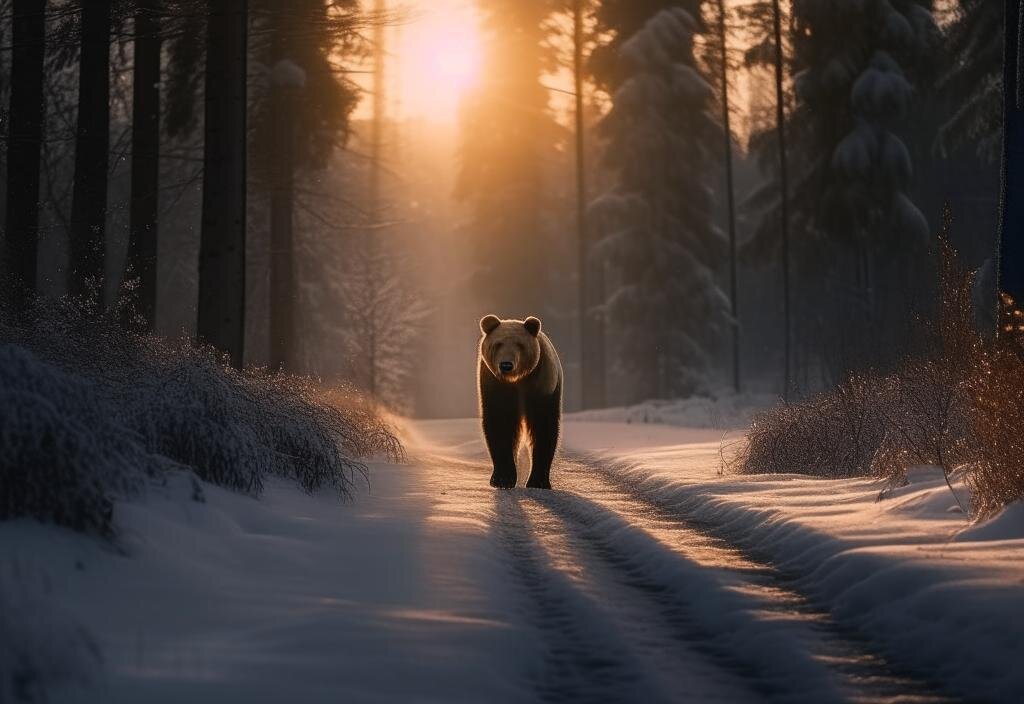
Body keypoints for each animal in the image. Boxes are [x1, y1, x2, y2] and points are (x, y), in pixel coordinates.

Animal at [477, 315, 565, 489]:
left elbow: (543, 426)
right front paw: (502, 479)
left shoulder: (540, 385)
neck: (517, 381)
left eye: (520, 345)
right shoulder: (495, 386)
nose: (506, 365)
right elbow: (501, 425)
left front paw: (538, 481)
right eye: (498, 344)